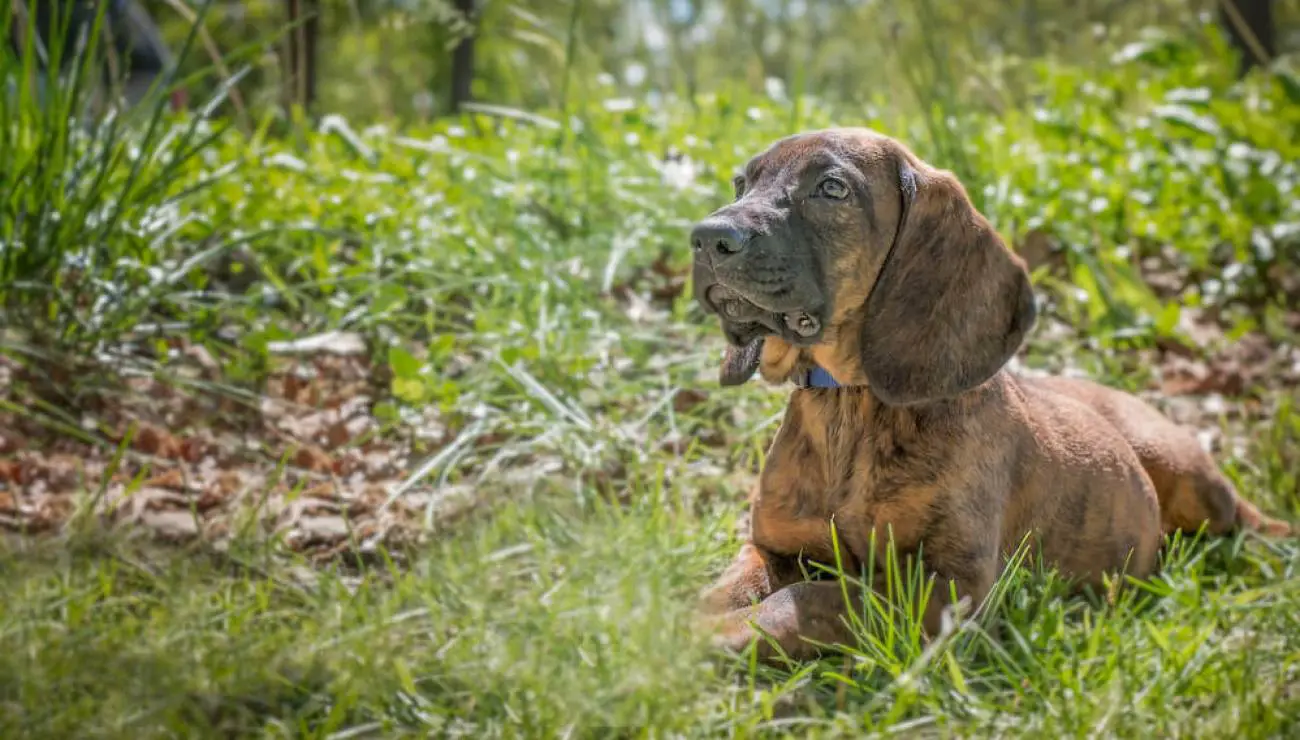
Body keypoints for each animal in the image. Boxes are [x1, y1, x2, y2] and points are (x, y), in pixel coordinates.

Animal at [691, 125, 1289, 658]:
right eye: (741, 182)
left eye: (832, 188)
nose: (706, 238)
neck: (849, 402)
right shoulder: (773, 546)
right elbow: (724, 589)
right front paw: (682, 627)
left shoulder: (946, 591)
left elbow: (807, 601)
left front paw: (716, 638)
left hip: (1185, 472)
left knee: (1241, 515)